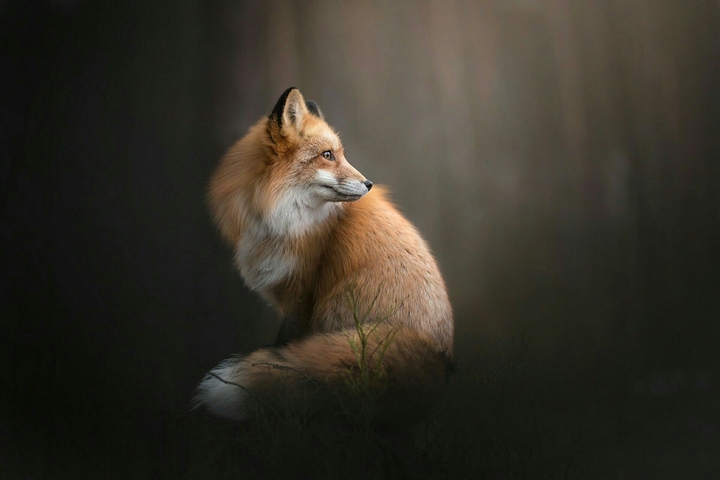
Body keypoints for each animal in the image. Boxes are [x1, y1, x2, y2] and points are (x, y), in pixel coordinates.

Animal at [195, 87, 454, 427]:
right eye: (327, 155)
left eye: (339, 154)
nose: (369, 184)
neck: (279, 218)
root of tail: (439, 356)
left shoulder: (302, 292)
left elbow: (284, 344)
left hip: (339, 305)